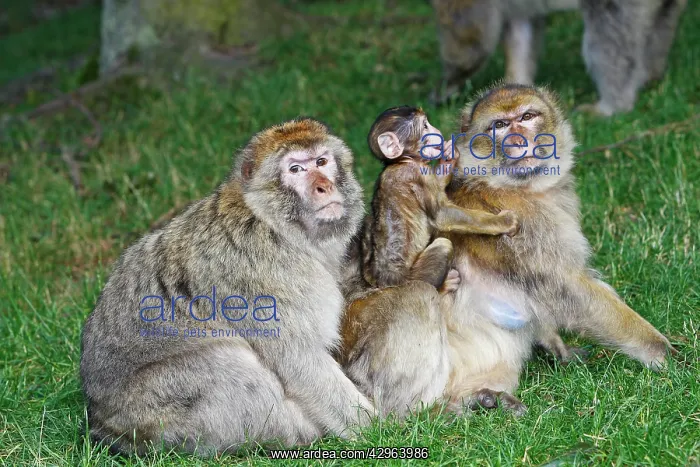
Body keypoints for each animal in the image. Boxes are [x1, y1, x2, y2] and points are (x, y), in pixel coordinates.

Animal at [80, 118, 376, 456]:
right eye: (296, 169)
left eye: (322, 162)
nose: (323, 186)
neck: (272, 224)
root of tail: (102, 422)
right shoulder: (269, 281)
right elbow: (299, 361)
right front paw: (378, 428)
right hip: (157, 412)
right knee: (228, 365)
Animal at [362, 105, 519, 293]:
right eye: (425, 126)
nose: (436, 131)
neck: (402, 161)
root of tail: (382, 285)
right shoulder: (418, 175)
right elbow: (441, 215)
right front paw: (503, 221)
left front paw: (448, 157)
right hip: (413, 281)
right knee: (443, 245)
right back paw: (444, 286)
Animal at [430, 0, 687, 115]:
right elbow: (520, 28)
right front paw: (515, 85)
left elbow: (469, 36)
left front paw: (448, 83)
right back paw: (653, 72)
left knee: (608, 36)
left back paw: (613, 104)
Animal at [441, 83, 676, 412]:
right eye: (499, 125)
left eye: (527, 117)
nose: (517, 139)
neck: (512, 188)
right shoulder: (523, 224)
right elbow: (570, 289)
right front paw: (663, 353)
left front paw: (557, 346)